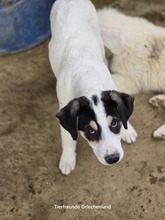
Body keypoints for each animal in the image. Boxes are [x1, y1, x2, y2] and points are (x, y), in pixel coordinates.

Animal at [48, 0, 137, 175]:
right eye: (90, 130)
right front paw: (67, 159)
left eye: (114, 123)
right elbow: (67, 138)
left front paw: (127, 130)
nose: (113, 159)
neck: (88, 80)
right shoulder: (63, 106)